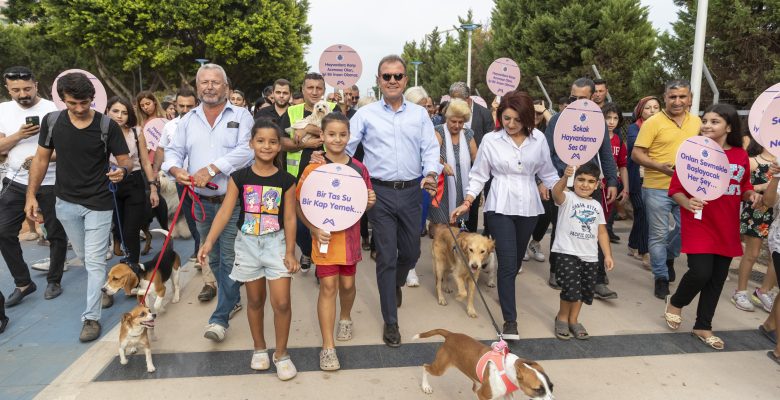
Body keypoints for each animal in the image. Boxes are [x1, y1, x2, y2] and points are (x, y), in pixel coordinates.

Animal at [414, 330, 556, 400]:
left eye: (551, 387)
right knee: (425, 367)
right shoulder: (484, 396)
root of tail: (451, 335)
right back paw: (426, 386)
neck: (507, 370)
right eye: (537, 390)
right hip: (439, 369)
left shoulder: (507, 395)